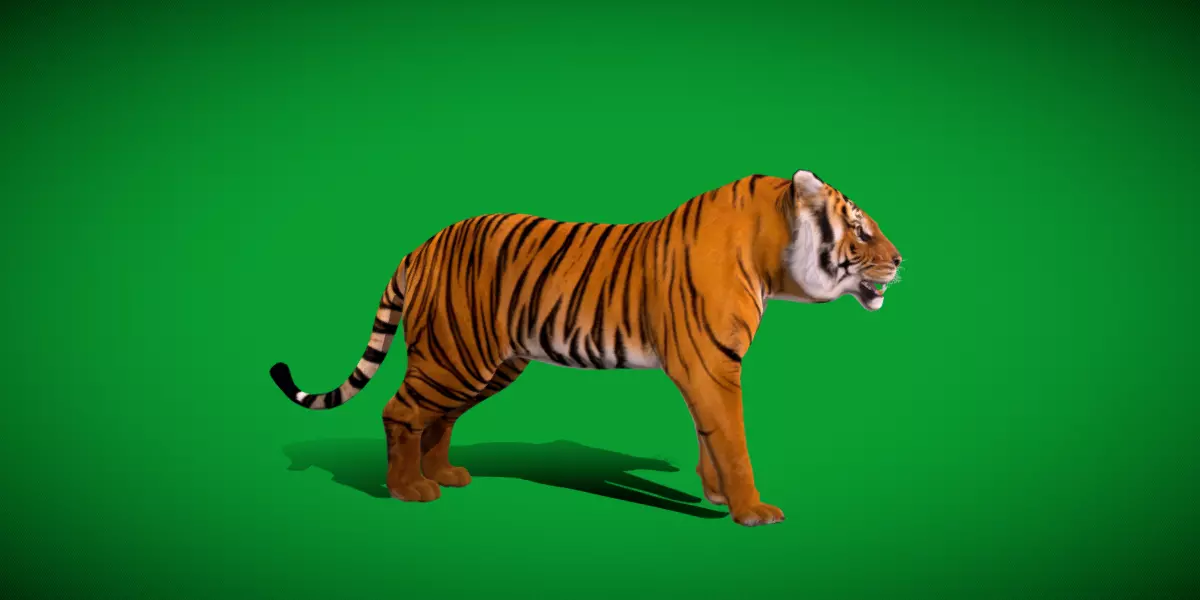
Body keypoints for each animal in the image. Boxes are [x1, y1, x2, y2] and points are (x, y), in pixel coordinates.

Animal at [270, 169, 902, 527]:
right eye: (860, 229)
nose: (900, 261)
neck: (772, 259)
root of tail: (421, 246)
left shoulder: (708, 368)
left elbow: (710, 437)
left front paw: (718, 497)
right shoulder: (711, 366)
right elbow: (733, 440)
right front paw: (752, 512)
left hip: (485, 365)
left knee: (438, 418)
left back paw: (445, 474)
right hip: (454, 356)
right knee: (400, 411)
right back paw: (410, 491)